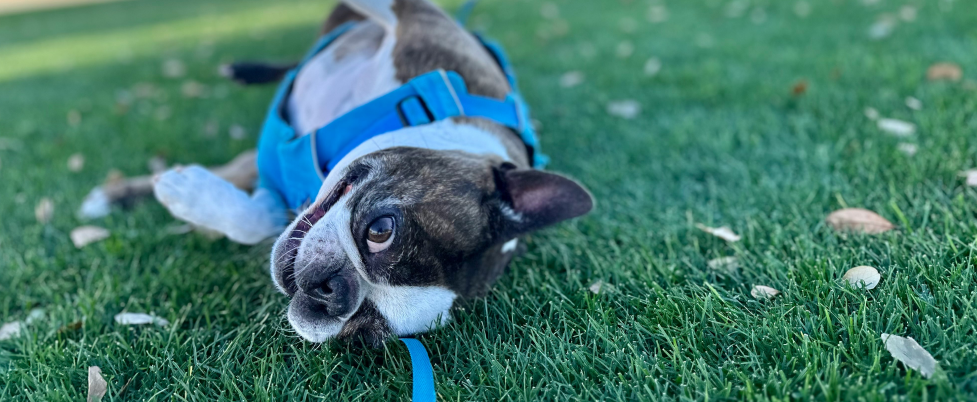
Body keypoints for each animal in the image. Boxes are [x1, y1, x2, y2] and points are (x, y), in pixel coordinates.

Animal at [86, 0, 588, 346]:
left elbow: (257, 218)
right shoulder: (409, 15)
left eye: (365, 330)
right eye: (381, 230)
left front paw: (186, 192)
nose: (334, 294)